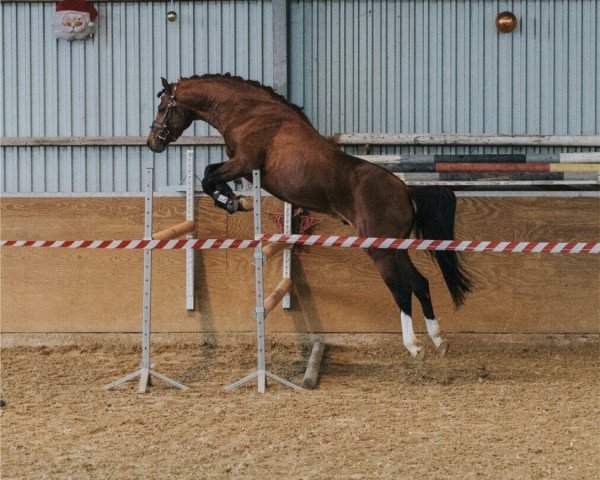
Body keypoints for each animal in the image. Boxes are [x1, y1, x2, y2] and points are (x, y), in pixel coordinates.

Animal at [146, 74, 474, 360]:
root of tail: (405, 190)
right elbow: (209, 173)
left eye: (163, 107)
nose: (153, 142)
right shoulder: (240, 166)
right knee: (420, 283)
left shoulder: (244, 163)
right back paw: (438, 340)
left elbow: (207, 178)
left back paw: (414, 346)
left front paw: (233, 202)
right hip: (395, 247)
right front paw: (235, 201)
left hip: (379, 248)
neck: (249, 112)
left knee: (402, 289)